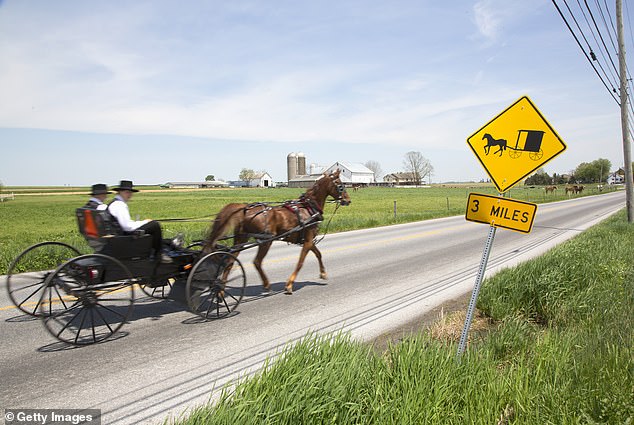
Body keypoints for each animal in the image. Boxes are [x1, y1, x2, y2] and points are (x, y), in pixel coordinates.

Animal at [202, 169, 350, 294]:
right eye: (340, 185)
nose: (348, 200)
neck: (309, 207)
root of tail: (245, 209)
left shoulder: (308, 241)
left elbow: (318, 254)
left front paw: (323, 273)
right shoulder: (308, 240)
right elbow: (301, 262)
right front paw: (289, 284)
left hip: (241, 239)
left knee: (230, 261)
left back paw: (221, 291)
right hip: (266, 241)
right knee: (256, 262)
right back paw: (266, 284)